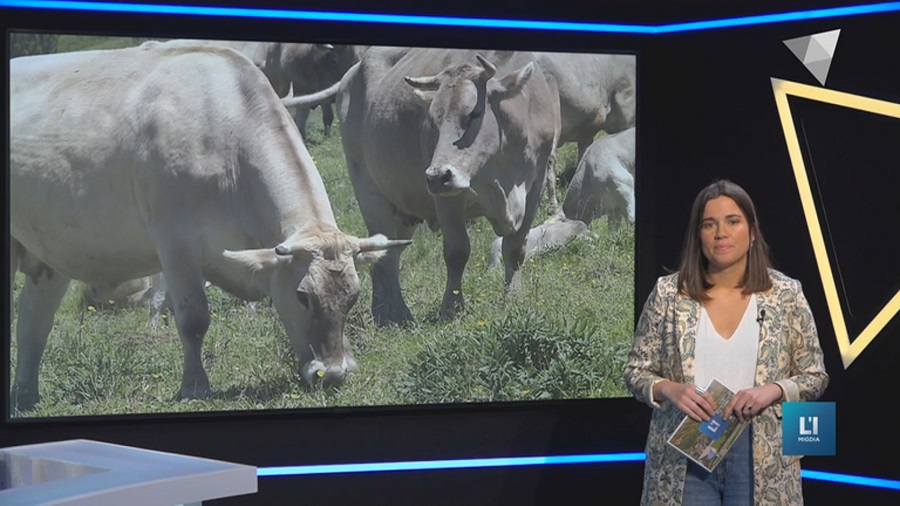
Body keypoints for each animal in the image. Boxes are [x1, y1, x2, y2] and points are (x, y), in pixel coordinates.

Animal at [6, 39, 408, 412]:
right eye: (302, 296)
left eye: (352, 297)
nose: (333, 373)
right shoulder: (174, 242)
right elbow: (193, 317)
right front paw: (195, 386)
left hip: (49, 254)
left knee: (33, 322)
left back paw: (25, 396)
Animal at [342, 48, 560, 324]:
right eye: (432, 120)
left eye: (473, 114)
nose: (436, 176)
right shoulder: (447, 198)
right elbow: (457, 252)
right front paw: (452, 307)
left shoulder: (536, 185)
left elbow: (515, 248)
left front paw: (514, 299)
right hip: (370, 193)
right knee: (386, 260)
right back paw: (396, 314)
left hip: (402, 211)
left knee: (387, 253)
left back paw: (385, 311)